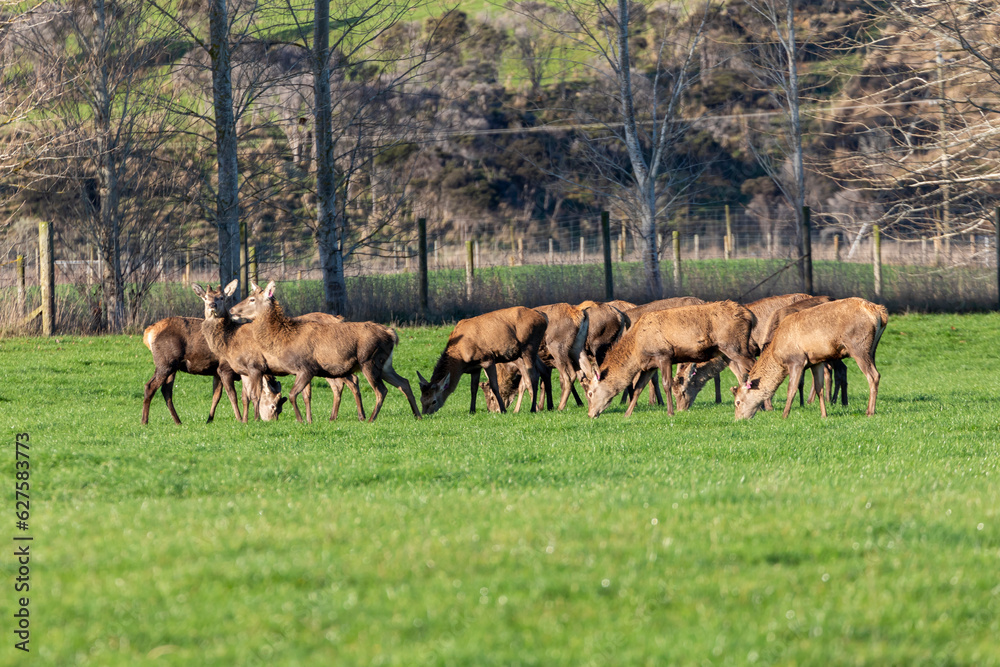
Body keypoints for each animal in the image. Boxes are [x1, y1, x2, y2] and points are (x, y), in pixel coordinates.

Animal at [228, 280, 422, 422]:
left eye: (252, 299)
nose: (231, 309)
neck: (284, 339)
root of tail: (391, 334)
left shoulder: (306, 368)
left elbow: (292, 394)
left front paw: (301, 420)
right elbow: (300, 395)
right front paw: (305, 420)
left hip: (369, 360)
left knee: (381, 390)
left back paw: (371, 418)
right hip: (385, 364)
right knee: (404, 382)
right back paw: (418, 415)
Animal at [418, 306, 552, 414]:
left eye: (434, 401)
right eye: (421, 399)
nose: (424, 414)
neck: (461, 359)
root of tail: (543, 317)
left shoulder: (487, 359)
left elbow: (494, 385)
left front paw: (503, 410)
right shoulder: (475, 367)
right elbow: (473, 388)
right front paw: (472, 410)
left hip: (528, 346)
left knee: (533, 376)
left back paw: (533, 409)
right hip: (531, 350)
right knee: (545, 369)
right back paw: (550, 406)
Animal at [584, 302, 752, 418]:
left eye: (590, 393)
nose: (590, 414)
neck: (637, 349)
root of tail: (749, 315)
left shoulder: (663, 356)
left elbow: (666, 384)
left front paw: (670, 412)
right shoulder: (649, 365)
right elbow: (638, 388)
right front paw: (627, 413)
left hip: (735, 347)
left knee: (751, 367)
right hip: (725, 353)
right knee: (741, 375)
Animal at [732, 296, 888, 418]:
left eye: (737, 402)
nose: (738, 419)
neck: (777, 354)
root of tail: (880, 312)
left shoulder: (796, 360)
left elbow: (791, 388)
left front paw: (784, 415)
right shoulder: (815, 362)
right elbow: (819, 388)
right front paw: (824, 414)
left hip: (858, 346)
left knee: (873, 375)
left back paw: (870, 411)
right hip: (872, 348)